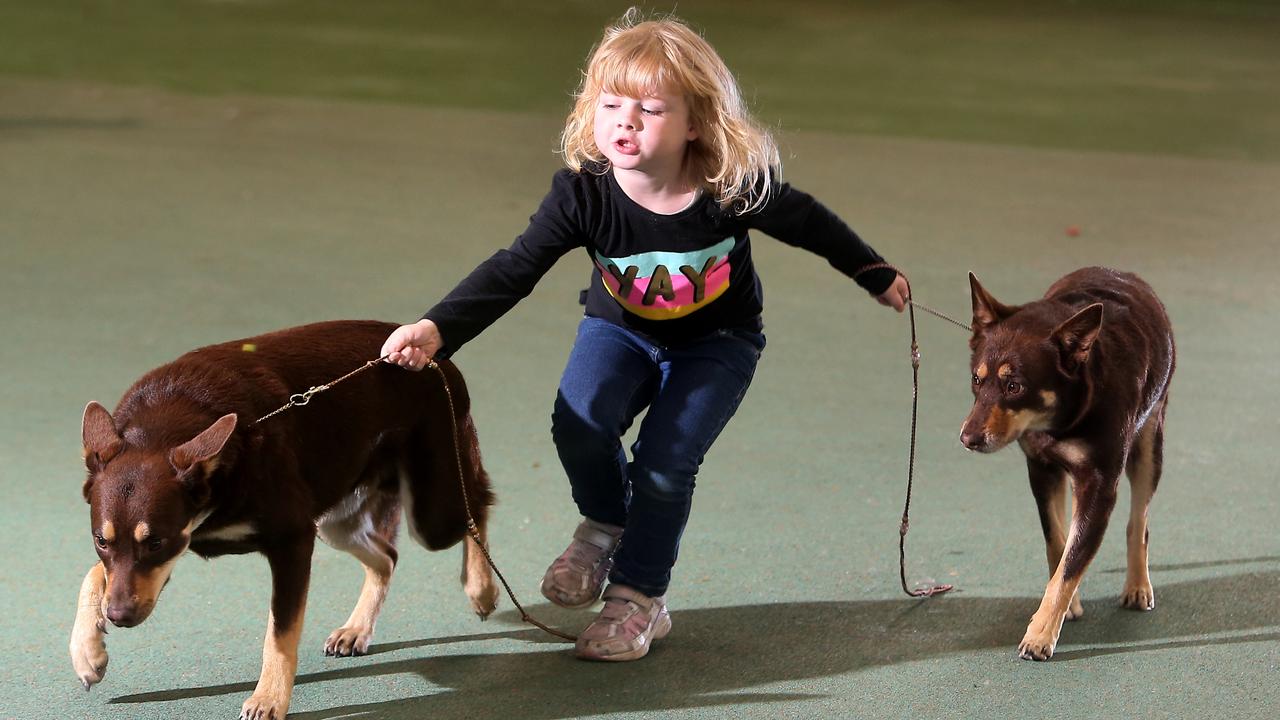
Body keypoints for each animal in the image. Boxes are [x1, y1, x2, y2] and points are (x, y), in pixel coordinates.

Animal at [67, 319, 499, 717]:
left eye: (154, 541)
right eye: (100, 540)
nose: (118, 617)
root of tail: (438, 360)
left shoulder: (290, 541)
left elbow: (280, 632)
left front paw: (269, 698)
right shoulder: (178, 546)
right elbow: (94, 574)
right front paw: (87, 651)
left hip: (432, 510)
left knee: (476, 508)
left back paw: (482, 588)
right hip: (335, 521)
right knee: (387, 558)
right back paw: (357, 629)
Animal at [962, 266, 1177, 661]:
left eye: (1014, 386)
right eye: (976, 379)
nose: (967, 438)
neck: (1058, 421)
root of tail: (1123, 273)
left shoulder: (1100, 486)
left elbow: (1072, 561)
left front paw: (1040, 635)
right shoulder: (1041, 470)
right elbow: (1059, 545)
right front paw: (1066, 606)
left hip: (1149, 445)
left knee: (1138, 521)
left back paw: (1138, 586)